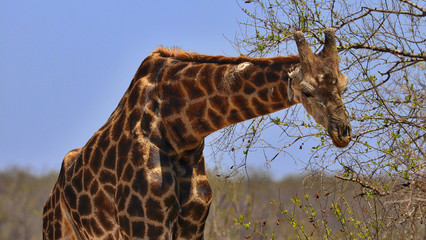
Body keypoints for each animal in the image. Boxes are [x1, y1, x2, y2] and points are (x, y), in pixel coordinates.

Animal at [43, 28, 352, 240]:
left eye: (345, 85)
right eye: (307, 91)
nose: (343, 131)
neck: (180, 130)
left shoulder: (192, 222)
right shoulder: (143, 225)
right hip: (58, 232)